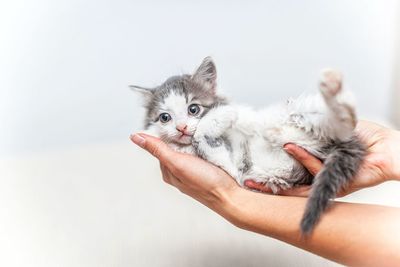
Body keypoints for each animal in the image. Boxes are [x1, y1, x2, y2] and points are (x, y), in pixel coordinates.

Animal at [131, 57, 366, 234]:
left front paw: (226, 113)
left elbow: (213, 122)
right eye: (165, 117)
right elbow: (204, 141)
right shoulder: (226, 164)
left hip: (302, 112)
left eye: (194, 109)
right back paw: (276, 132)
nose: (181, 128)